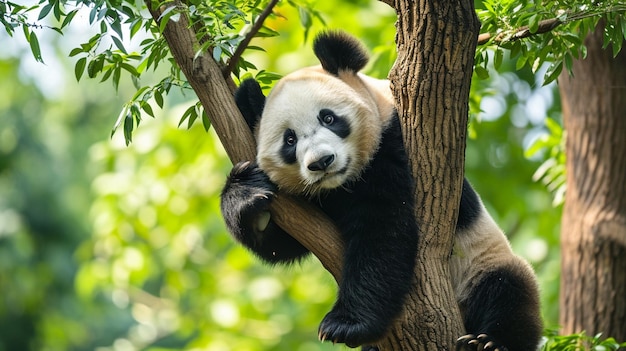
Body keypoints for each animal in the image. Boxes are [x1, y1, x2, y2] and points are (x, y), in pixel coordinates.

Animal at [221, 31, 540, 351]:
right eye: (290, 140)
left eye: (328, 118)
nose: (322, 162)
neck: (341, 186)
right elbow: (283, 244)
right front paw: (247, 193)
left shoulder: (391, 146)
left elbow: (383, 230)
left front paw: (345, 324)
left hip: (483, 261)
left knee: (509, 291)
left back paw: (488, 342)